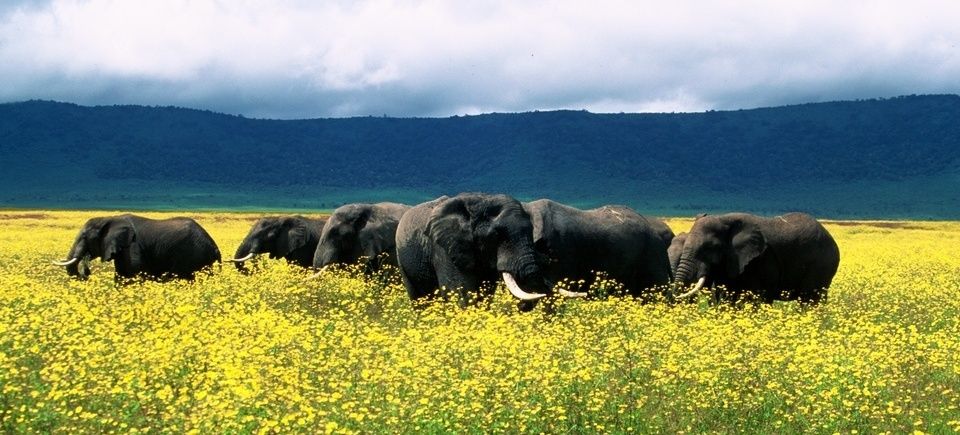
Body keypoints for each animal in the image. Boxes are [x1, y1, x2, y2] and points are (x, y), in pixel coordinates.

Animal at [52, 214, 221, 280]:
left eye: (84, 237)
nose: (86, 273)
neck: (109, 218)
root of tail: (214, 247)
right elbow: (120, 276)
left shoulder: (132, 247)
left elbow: (133, 272)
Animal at [672, 212, 840, 304]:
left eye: (709, 248)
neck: (725, 219)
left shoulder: (764, 258)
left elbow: (760, 297)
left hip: (822, 265)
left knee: (810, 299)